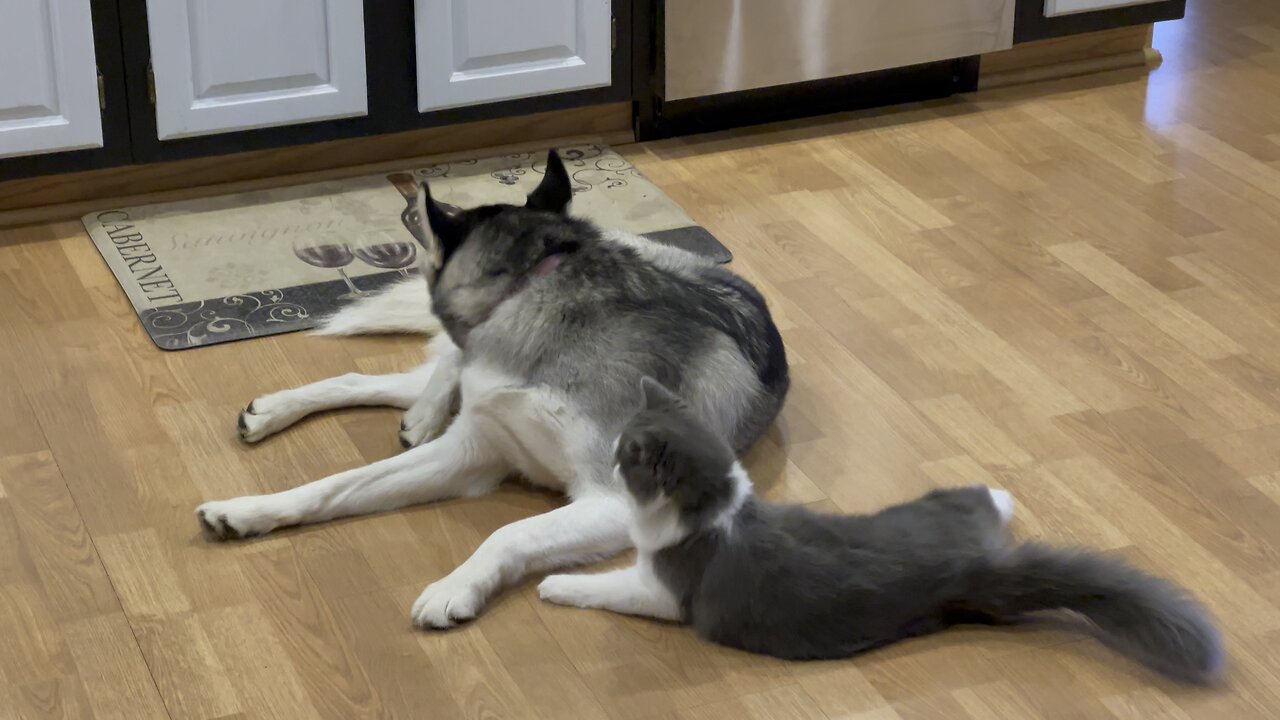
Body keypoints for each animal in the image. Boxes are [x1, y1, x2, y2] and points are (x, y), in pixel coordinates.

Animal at [193, 151, 783, 627]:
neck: (532, 289)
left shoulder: (611, 499)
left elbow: (509, 532)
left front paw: (454, 587)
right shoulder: (471, 446)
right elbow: (335, 484)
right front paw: (250, 509)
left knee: (392, 380)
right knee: (413, 371)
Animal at [535, 376, 1223, 681]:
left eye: (622, 456)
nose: (607, 464)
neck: (719, 508)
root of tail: (971, 566)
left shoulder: (666, 588)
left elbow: (607, 586)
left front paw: (554, 586)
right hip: (942, 509)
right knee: (979, 496)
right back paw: (1002, 490)